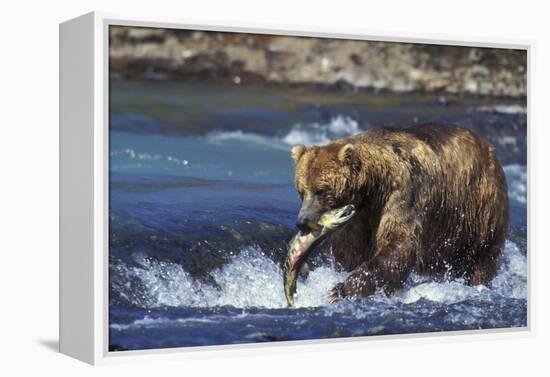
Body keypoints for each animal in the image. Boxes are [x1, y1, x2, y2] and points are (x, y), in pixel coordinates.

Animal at [292, 122, 512, 302]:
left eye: (320, 190)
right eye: (301, 191)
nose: (302, 221)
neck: (373, 189)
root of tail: (489, 147)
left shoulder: (404, 193)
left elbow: (399, 244)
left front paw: (341, 289)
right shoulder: (359, 216)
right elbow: (348, 250)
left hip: (480, 209)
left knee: (484, 255)